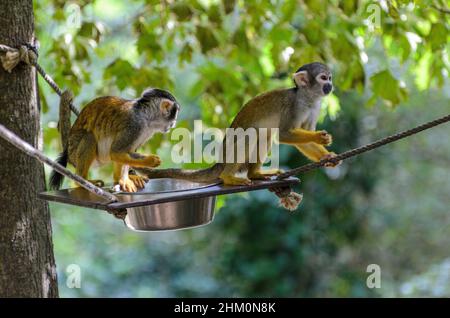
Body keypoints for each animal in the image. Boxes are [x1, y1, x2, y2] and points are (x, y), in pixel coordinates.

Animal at [49, 87, 181, 191]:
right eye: (174, 113)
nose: (174, 122)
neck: (147, 118)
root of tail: (67, 149)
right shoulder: (134, 125)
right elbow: (116, 152)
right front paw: (150, 161)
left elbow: (125, 152)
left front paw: (123, 180)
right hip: (74, 151)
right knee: (89, 137)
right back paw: (81, 181)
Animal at [139, 61, 340, 185]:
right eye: (323, 78)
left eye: (330, 78)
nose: (330, 85)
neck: (307, 98)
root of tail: (221, 161)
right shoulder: (293, 106)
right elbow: (284, 134)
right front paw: (320, 137)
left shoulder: (316, 107)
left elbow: (303, 139)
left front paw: (326, 156)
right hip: (230, 153)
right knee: (251, 134)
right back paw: (228, 177)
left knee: (264, 135)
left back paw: (255, 173)